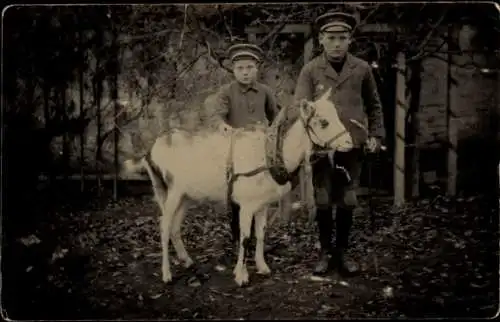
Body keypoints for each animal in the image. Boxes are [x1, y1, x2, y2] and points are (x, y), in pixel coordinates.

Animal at [123, 88, 362, 286]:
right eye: (323, 122)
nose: (349, 144)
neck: (271, 153)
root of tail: (150, 151)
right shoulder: (246, 205)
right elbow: (246, 237)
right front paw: (241, 276)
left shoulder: (262, 204)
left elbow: (261, 233)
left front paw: (263, 267)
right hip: (169, 190)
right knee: (164, 226)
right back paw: (166, 275)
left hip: (185, 196)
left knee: (174, 227)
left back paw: (188, 261)